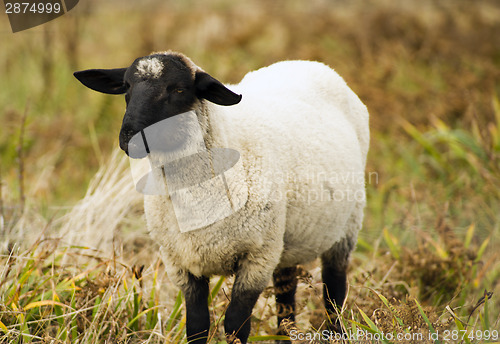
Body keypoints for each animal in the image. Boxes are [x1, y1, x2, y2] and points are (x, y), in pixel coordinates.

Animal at [75, 51, 372, 344]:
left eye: (179, 89)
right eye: (127, 87)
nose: (131, 139)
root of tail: (308, 62)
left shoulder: (257, 258)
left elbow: (235, 325)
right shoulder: (181, 263)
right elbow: (196, 325)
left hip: (345, 227)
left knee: (334, 293)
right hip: (286, 240)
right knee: (286, 296)